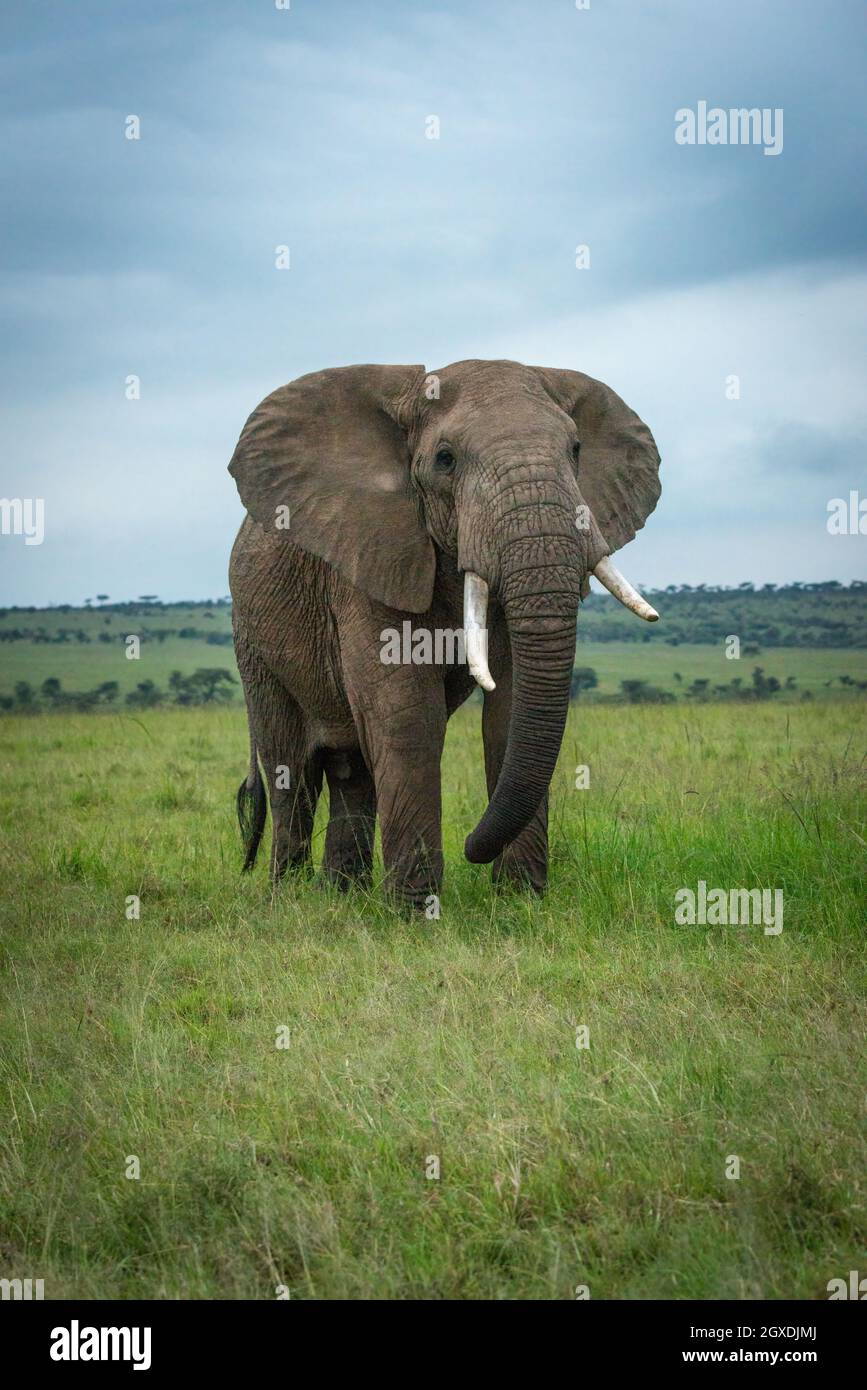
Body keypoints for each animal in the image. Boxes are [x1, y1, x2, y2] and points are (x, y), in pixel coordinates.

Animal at [227, 359, 661, 907]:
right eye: (445, 459)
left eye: (577, 449)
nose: (471, 847)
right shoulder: (371, 555)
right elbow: (408, 714)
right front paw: (417, 911)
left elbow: (509, 710)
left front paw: (520, 901)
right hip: (252, 639)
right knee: (291, 767)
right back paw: (290, 898)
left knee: (352, 768)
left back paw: (344, 896)